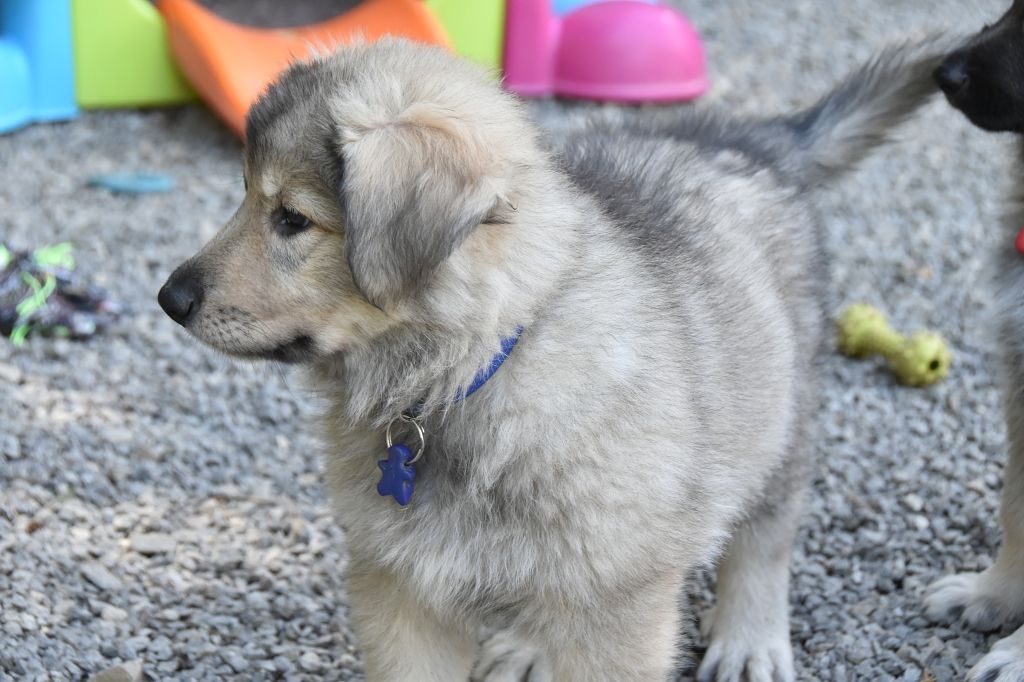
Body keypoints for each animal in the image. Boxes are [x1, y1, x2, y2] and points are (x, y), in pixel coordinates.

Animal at [158, 38, 940, 681]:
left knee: (765, 533)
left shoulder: (618, 606)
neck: (468, 376)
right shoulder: (399, 585)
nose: (169, 298)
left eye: (291, 219)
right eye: (244, 196)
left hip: (778, 408)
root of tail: (754, 137)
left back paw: (750, 636)